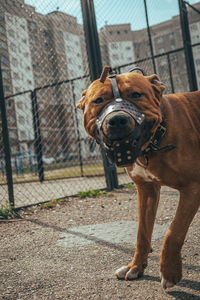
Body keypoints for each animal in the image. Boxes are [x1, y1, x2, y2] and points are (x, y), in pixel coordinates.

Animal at [76, 67, 199, 288]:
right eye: (98, 100)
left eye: (136, 95)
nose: (117, 119)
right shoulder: (146, 191)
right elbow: (142, 232)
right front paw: (135, 266)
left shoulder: (192, 188)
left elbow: (174, 231)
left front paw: (170, 271)